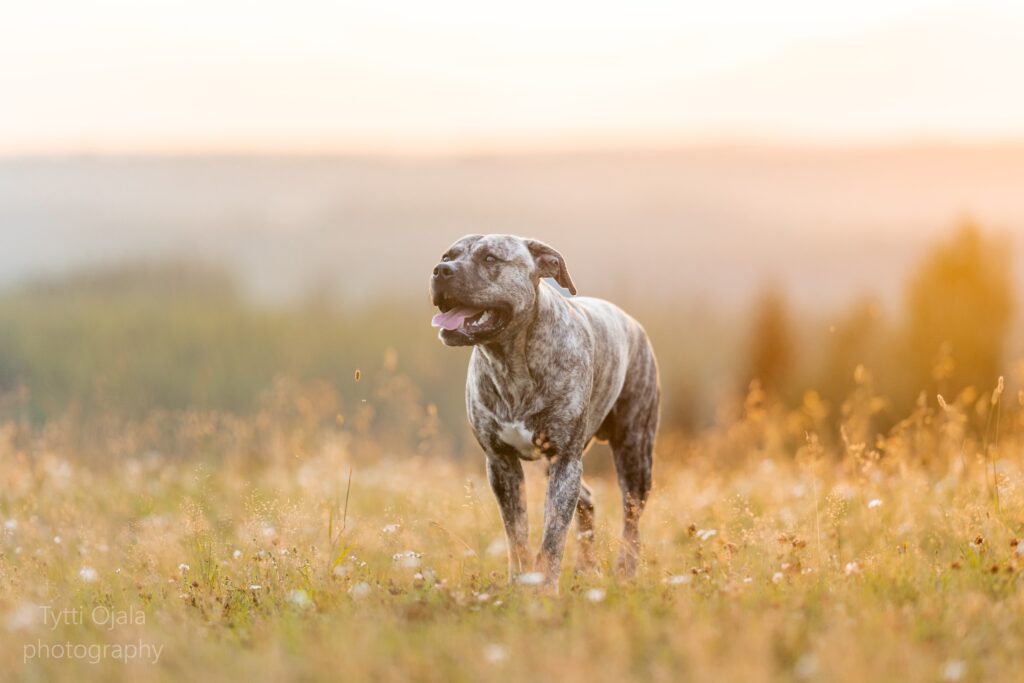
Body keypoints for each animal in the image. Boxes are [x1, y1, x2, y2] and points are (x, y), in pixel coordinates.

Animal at [428, 235, 659, 589]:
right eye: (446, 256)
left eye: (490, 258)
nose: (441, 271)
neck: (511, 360)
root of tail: (634, 323)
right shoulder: (502, 463)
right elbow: (516, 533)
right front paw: (520, 582)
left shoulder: (565, 461)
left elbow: (553, 535)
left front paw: (546, 589)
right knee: (587, 500)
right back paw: (586, 568)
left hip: (635, 455)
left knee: (631, 520)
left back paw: (625, 574)